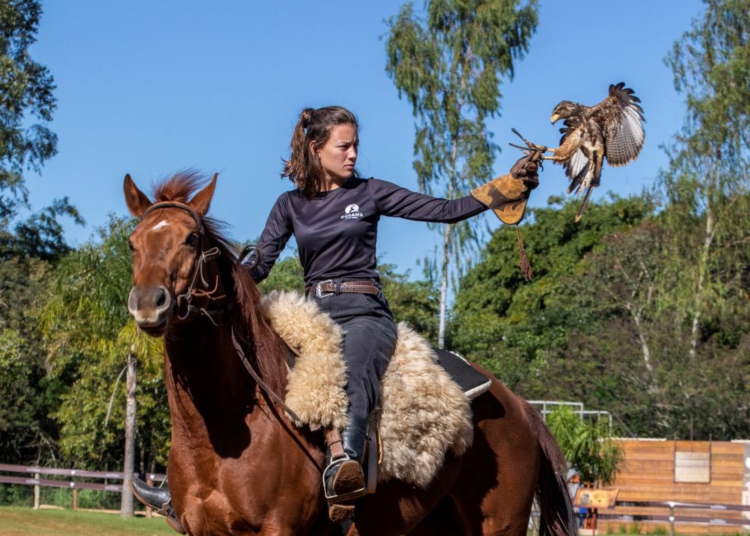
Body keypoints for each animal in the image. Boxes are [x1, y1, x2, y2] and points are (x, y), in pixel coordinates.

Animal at [126, 173, 580, 536]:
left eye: (191, 238)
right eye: (133, 243)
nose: (148, 302)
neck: (221, 430)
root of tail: (520, 406)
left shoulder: (279, 528)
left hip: (499, 524)